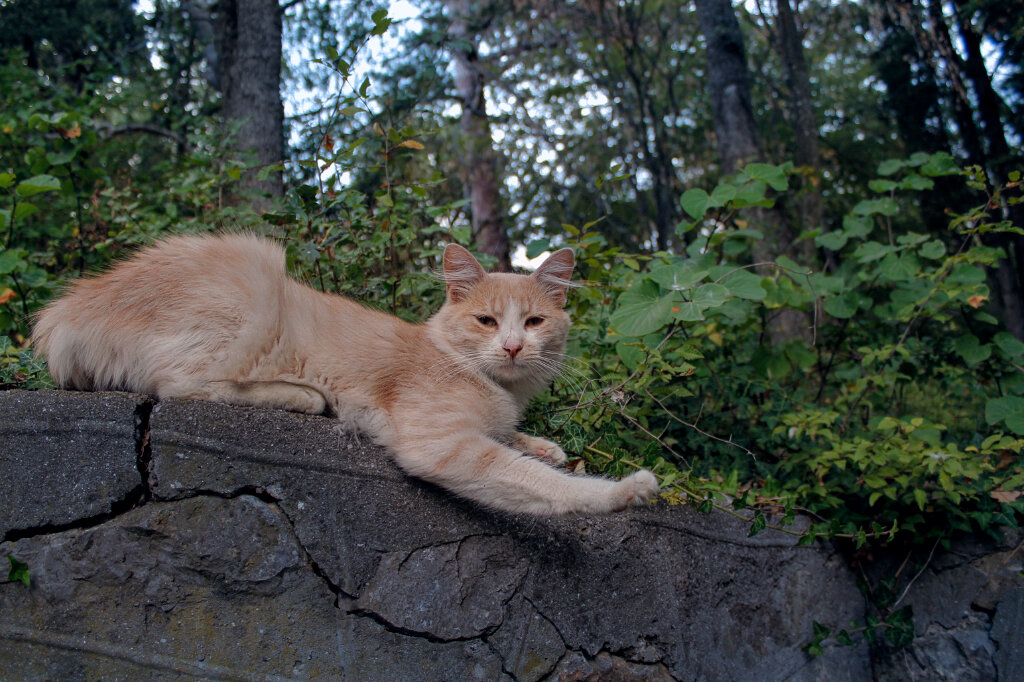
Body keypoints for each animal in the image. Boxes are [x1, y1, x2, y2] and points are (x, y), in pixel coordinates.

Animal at [32, 231, 659, 512]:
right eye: (486, 320)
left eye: (532, 322)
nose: (510, 347)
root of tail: (72, 306)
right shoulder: (443, 446)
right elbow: (545, 483)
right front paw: (623, 490)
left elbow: (521, 444)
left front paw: (543, 443)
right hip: (258, 277)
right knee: (181, 384)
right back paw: (307, 396)